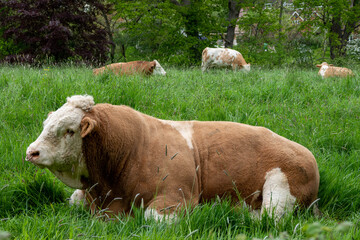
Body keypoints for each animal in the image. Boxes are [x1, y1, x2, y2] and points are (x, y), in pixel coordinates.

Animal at [25, 95, 320, 221]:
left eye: (69, 130)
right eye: (46, 124)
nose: (31, 152)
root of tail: (307, 152)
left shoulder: (176, 196)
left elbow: (152, 217)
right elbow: (74, 201)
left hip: (279, 190)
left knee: (268, 219)